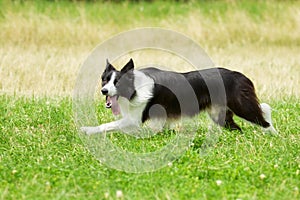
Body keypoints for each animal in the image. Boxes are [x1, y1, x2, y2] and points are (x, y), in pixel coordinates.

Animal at [80, 58, 276, 135]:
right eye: (104, 80)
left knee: (263, 117)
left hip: (242, 105)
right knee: (238, 127)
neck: (134, 88)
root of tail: (241, 76)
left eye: (117, 83)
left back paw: (273, 135)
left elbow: (108, 125)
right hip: (219, 114)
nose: (104, 91)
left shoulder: (134, 119)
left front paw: (88, 130)